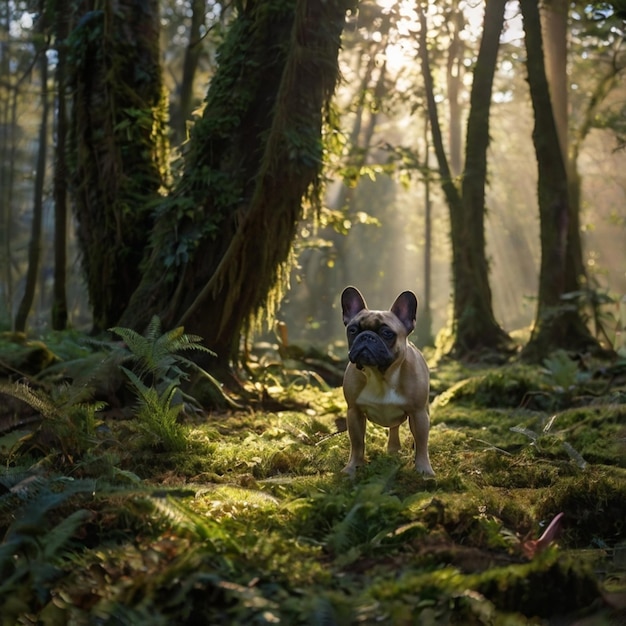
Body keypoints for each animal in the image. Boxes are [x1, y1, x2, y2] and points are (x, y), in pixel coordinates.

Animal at [338, 286, 432, 476]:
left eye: (387, 333)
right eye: (352, 330)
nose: (366, 336)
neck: (380, 375)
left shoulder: (418, 414)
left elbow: (422, 443)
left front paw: (424, 470)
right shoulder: (354, 412)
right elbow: (357, 444)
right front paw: (352, 468)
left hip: (424, 410)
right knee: (393, 428)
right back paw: (393, 449)